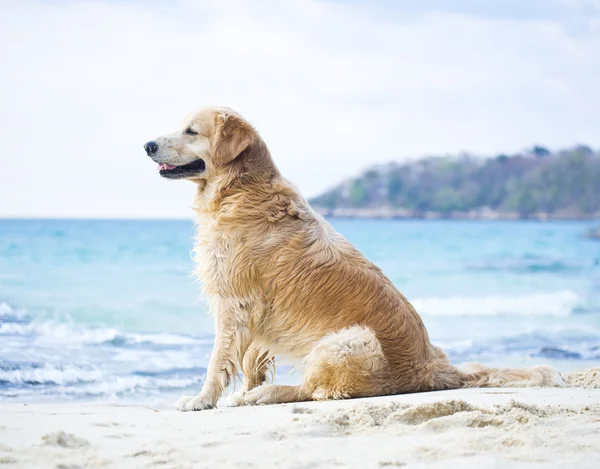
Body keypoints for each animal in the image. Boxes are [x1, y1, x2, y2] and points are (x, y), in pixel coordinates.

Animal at [143, 106, 564, 410]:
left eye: (191, 131)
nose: (147, 145)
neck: (240, 189)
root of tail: (436, 367)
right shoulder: (253, 315)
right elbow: (250, 362)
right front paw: (242, 389)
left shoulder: (233, 303)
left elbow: (218, 361)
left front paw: (202, 399)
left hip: (349, 339)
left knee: (316, 390)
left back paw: (265, 396)